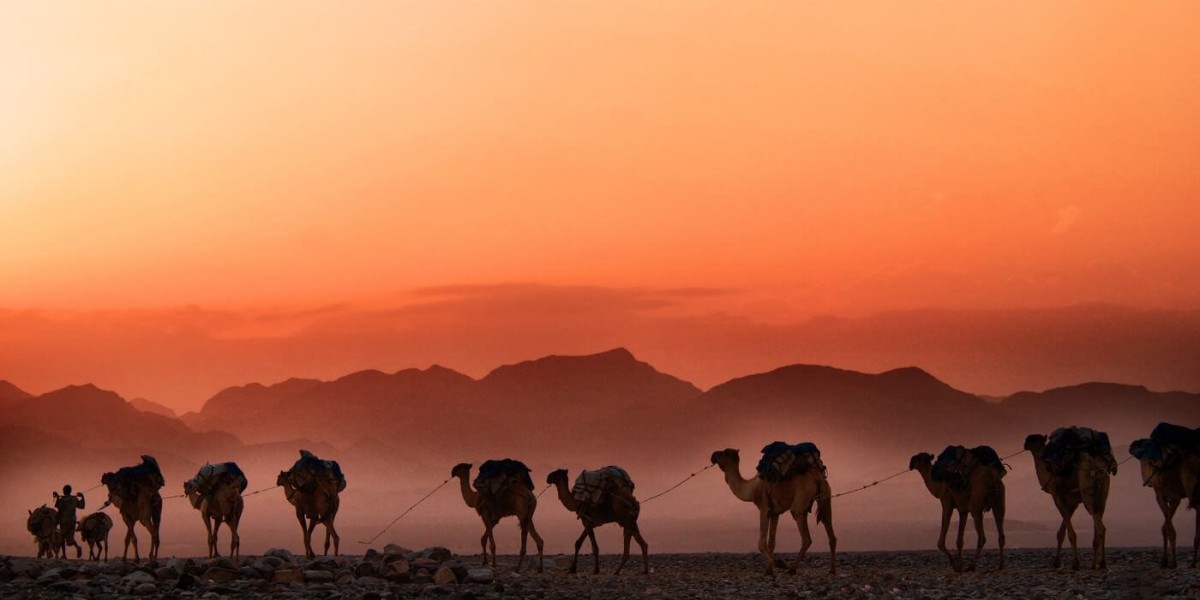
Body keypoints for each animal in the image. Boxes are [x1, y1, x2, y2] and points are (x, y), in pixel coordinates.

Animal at [1024, 432, 1115, 570]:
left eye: (1032, 439)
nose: (1025, 443)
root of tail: (1099, 468)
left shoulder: (1058, 497)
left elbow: (1070, 533)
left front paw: (1075, 563)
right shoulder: (1073, 503)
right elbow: (1061, 532)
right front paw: (1057, 562)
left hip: (1088, 495)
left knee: (1101, 527)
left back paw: (1103, 563)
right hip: (1102, 498)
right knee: (1098, 521)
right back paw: (1095, 564)